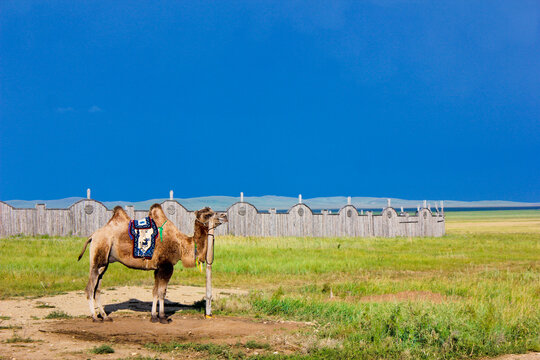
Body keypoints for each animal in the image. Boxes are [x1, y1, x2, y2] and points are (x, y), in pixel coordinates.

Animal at [77, 204, 226, 324]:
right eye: (207, 214)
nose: (224, 216)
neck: (182, 245)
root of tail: (92, 236)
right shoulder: (167, 266)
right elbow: (162, 292)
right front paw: (163, 317)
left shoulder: (158, 268)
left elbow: (155, 291)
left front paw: (154, 316)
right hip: (98, 256)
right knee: (90, 288)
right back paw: (95, 318)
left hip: (104, 263)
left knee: (97, 289)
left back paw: (105, 316)